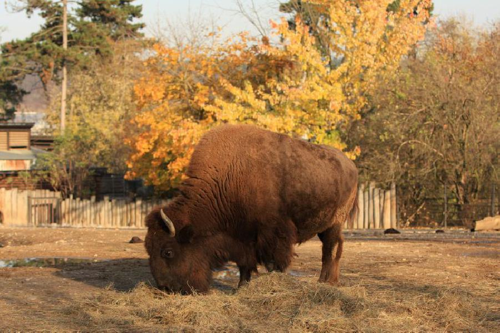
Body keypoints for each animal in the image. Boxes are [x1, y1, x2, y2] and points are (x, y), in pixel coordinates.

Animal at [143, 124, 358, 294]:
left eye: (168, 252)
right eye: (148, 247)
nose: (166, 288)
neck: (229, 176)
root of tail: (351, 165)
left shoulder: (273, 233)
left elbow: (275, 262)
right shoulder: (241, 237)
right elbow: (245, 264)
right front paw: (241, 288)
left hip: (334, 223)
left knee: (330, 250)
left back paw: (324, 282)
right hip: (325, 226)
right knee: (333, 249)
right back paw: (330, 281)